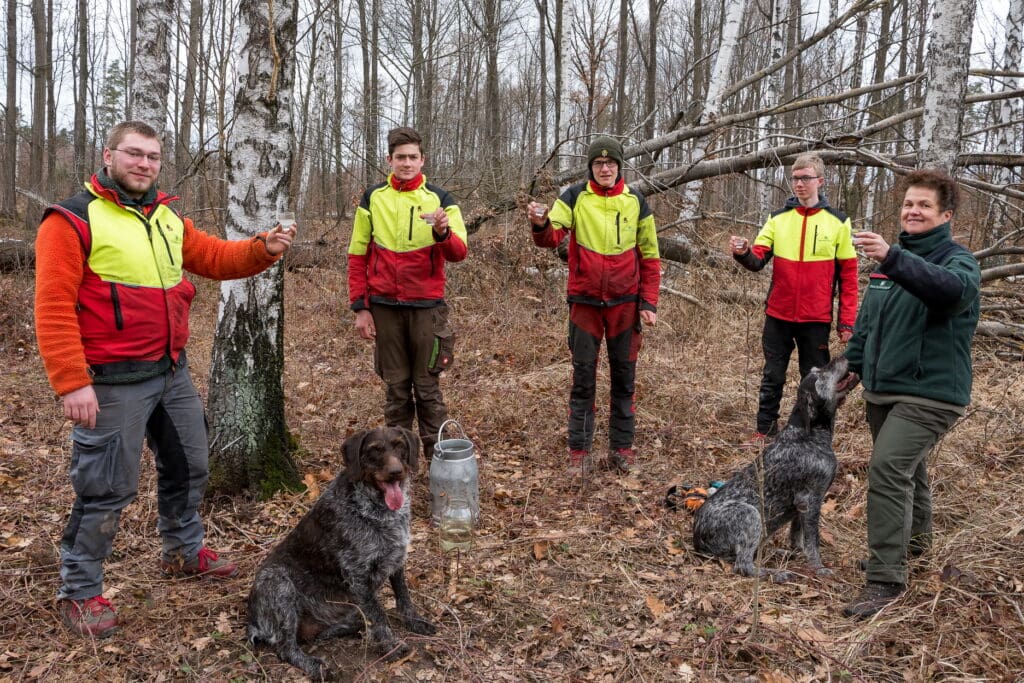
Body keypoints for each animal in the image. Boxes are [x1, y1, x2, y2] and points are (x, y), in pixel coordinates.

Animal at [251, 428, 440, 679]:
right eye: (374, 450)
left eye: (400, 445)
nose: (396, 472)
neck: (376, 509)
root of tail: (252, 619)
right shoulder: (357, 575)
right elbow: (379, 616)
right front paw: (391, 646)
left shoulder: (397, 559)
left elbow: (404, 597)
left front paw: (415, 621)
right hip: (278, 584)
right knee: (286, 648)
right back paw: (316, 666)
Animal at [692, 358, 860, 581]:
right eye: (822, 373)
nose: (842, 357)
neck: (808, 436)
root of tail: (697, 539)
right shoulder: (811, 500)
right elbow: (812, 541)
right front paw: (818, 568)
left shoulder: (801, 504)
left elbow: (797, 535)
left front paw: (797, 552)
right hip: (750, 514)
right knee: (743, 565)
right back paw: (778, 574)